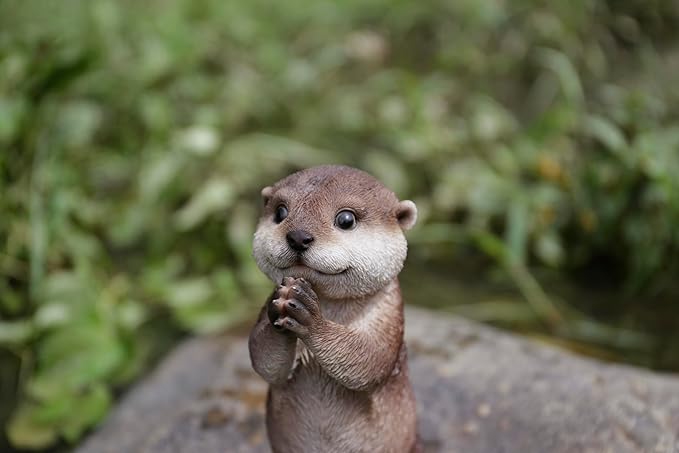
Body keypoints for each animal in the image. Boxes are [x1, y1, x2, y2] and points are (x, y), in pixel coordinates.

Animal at [248, 165, 419, 453]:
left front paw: (309, 316)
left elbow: (370, 360)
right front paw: (282, 306)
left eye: (346, 219)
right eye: (281, 212)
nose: (299, 236)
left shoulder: (390, 313)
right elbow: (263, 360)